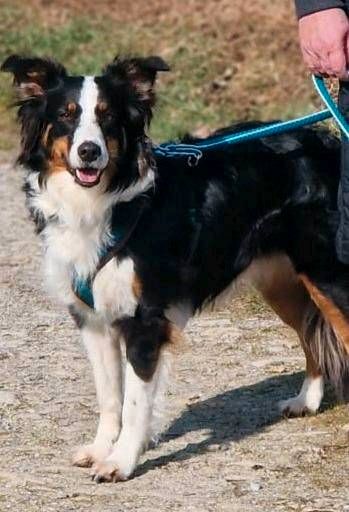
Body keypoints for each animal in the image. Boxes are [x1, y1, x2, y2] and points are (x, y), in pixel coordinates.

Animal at [3, 54, 349, 482]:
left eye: (107, 116)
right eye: (66, 115)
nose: (88, 152)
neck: (104, 203)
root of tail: (331, 142)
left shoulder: (145, 319)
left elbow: (135, 403)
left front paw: (120, 461)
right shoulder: (94, 320)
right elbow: (109, 395)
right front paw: (102, 447)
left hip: (328, 274)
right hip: (282, 281)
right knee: (307, 330)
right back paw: (306, 400)